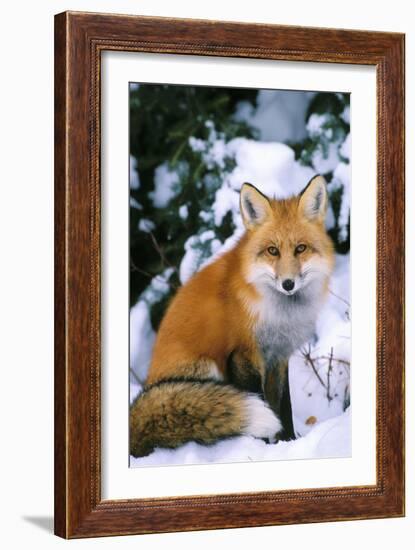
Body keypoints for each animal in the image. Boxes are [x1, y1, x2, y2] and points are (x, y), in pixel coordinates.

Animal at [130, 176, 334, 458]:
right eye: (272, 251)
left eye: (301, 249)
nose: (288, 284)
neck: (278, 313)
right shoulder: (242, 355)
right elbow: (261, 400)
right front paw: (261, 448)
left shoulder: (277, 357)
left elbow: (284, 407)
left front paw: (288, 442)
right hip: (207, 369)